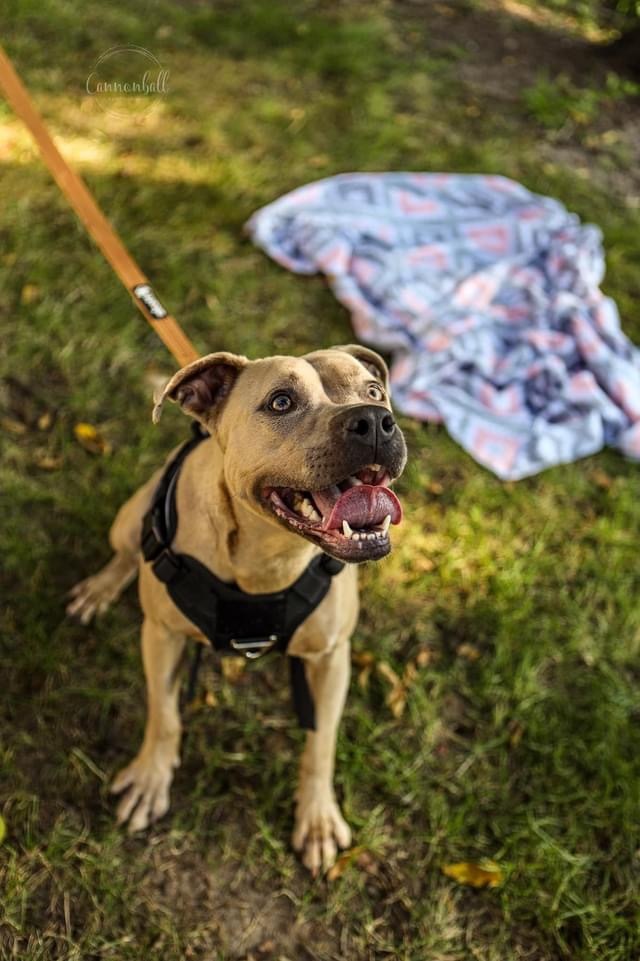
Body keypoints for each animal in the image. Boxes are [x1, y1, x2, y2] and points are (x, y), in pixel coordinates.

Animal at [67, 344, 408, 872]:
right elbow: (164, 716)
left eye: (373, 391)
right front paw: (150, 780)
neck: (270, 556)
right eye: (281, 402)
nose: (374, 421)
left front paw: (317, 818)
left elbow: (321, 743)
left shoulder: (332, 657)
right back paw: (99, 590)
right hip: (129, 518)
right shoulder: (161, 635)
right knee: (124, 555)